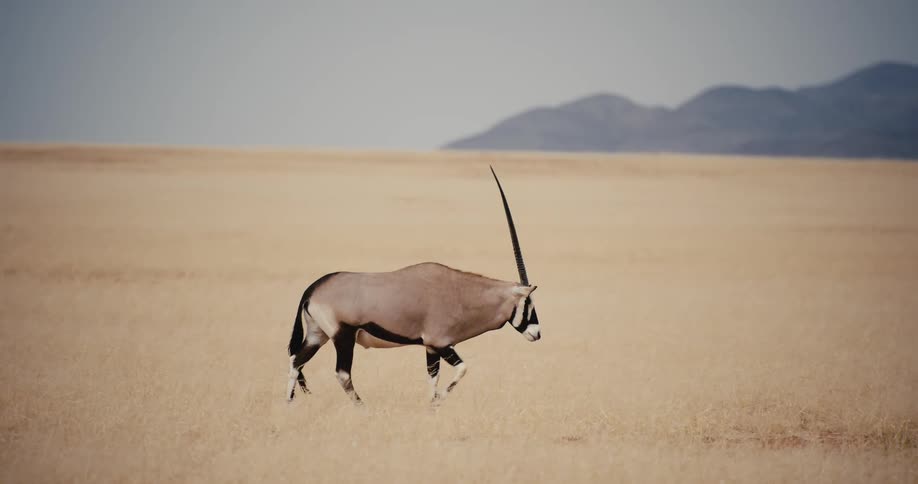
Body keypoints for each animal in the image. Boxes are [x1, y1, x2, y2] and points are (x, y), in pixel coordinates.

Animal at [286, 167, 540, 404]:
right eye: (528, 303)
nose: (537, 333)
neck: (462, 293)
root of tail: (313, 289)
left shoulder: (430, 347)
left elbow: (432, 377)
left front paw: (431, 406)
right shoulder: (439, 342)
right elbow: (462, 369)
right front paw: (438, 401)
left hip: (317, 335)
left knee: (296, 361)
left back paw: (289, 404)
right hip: (342, 337)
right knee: (342, 374)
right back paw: (362, 407)